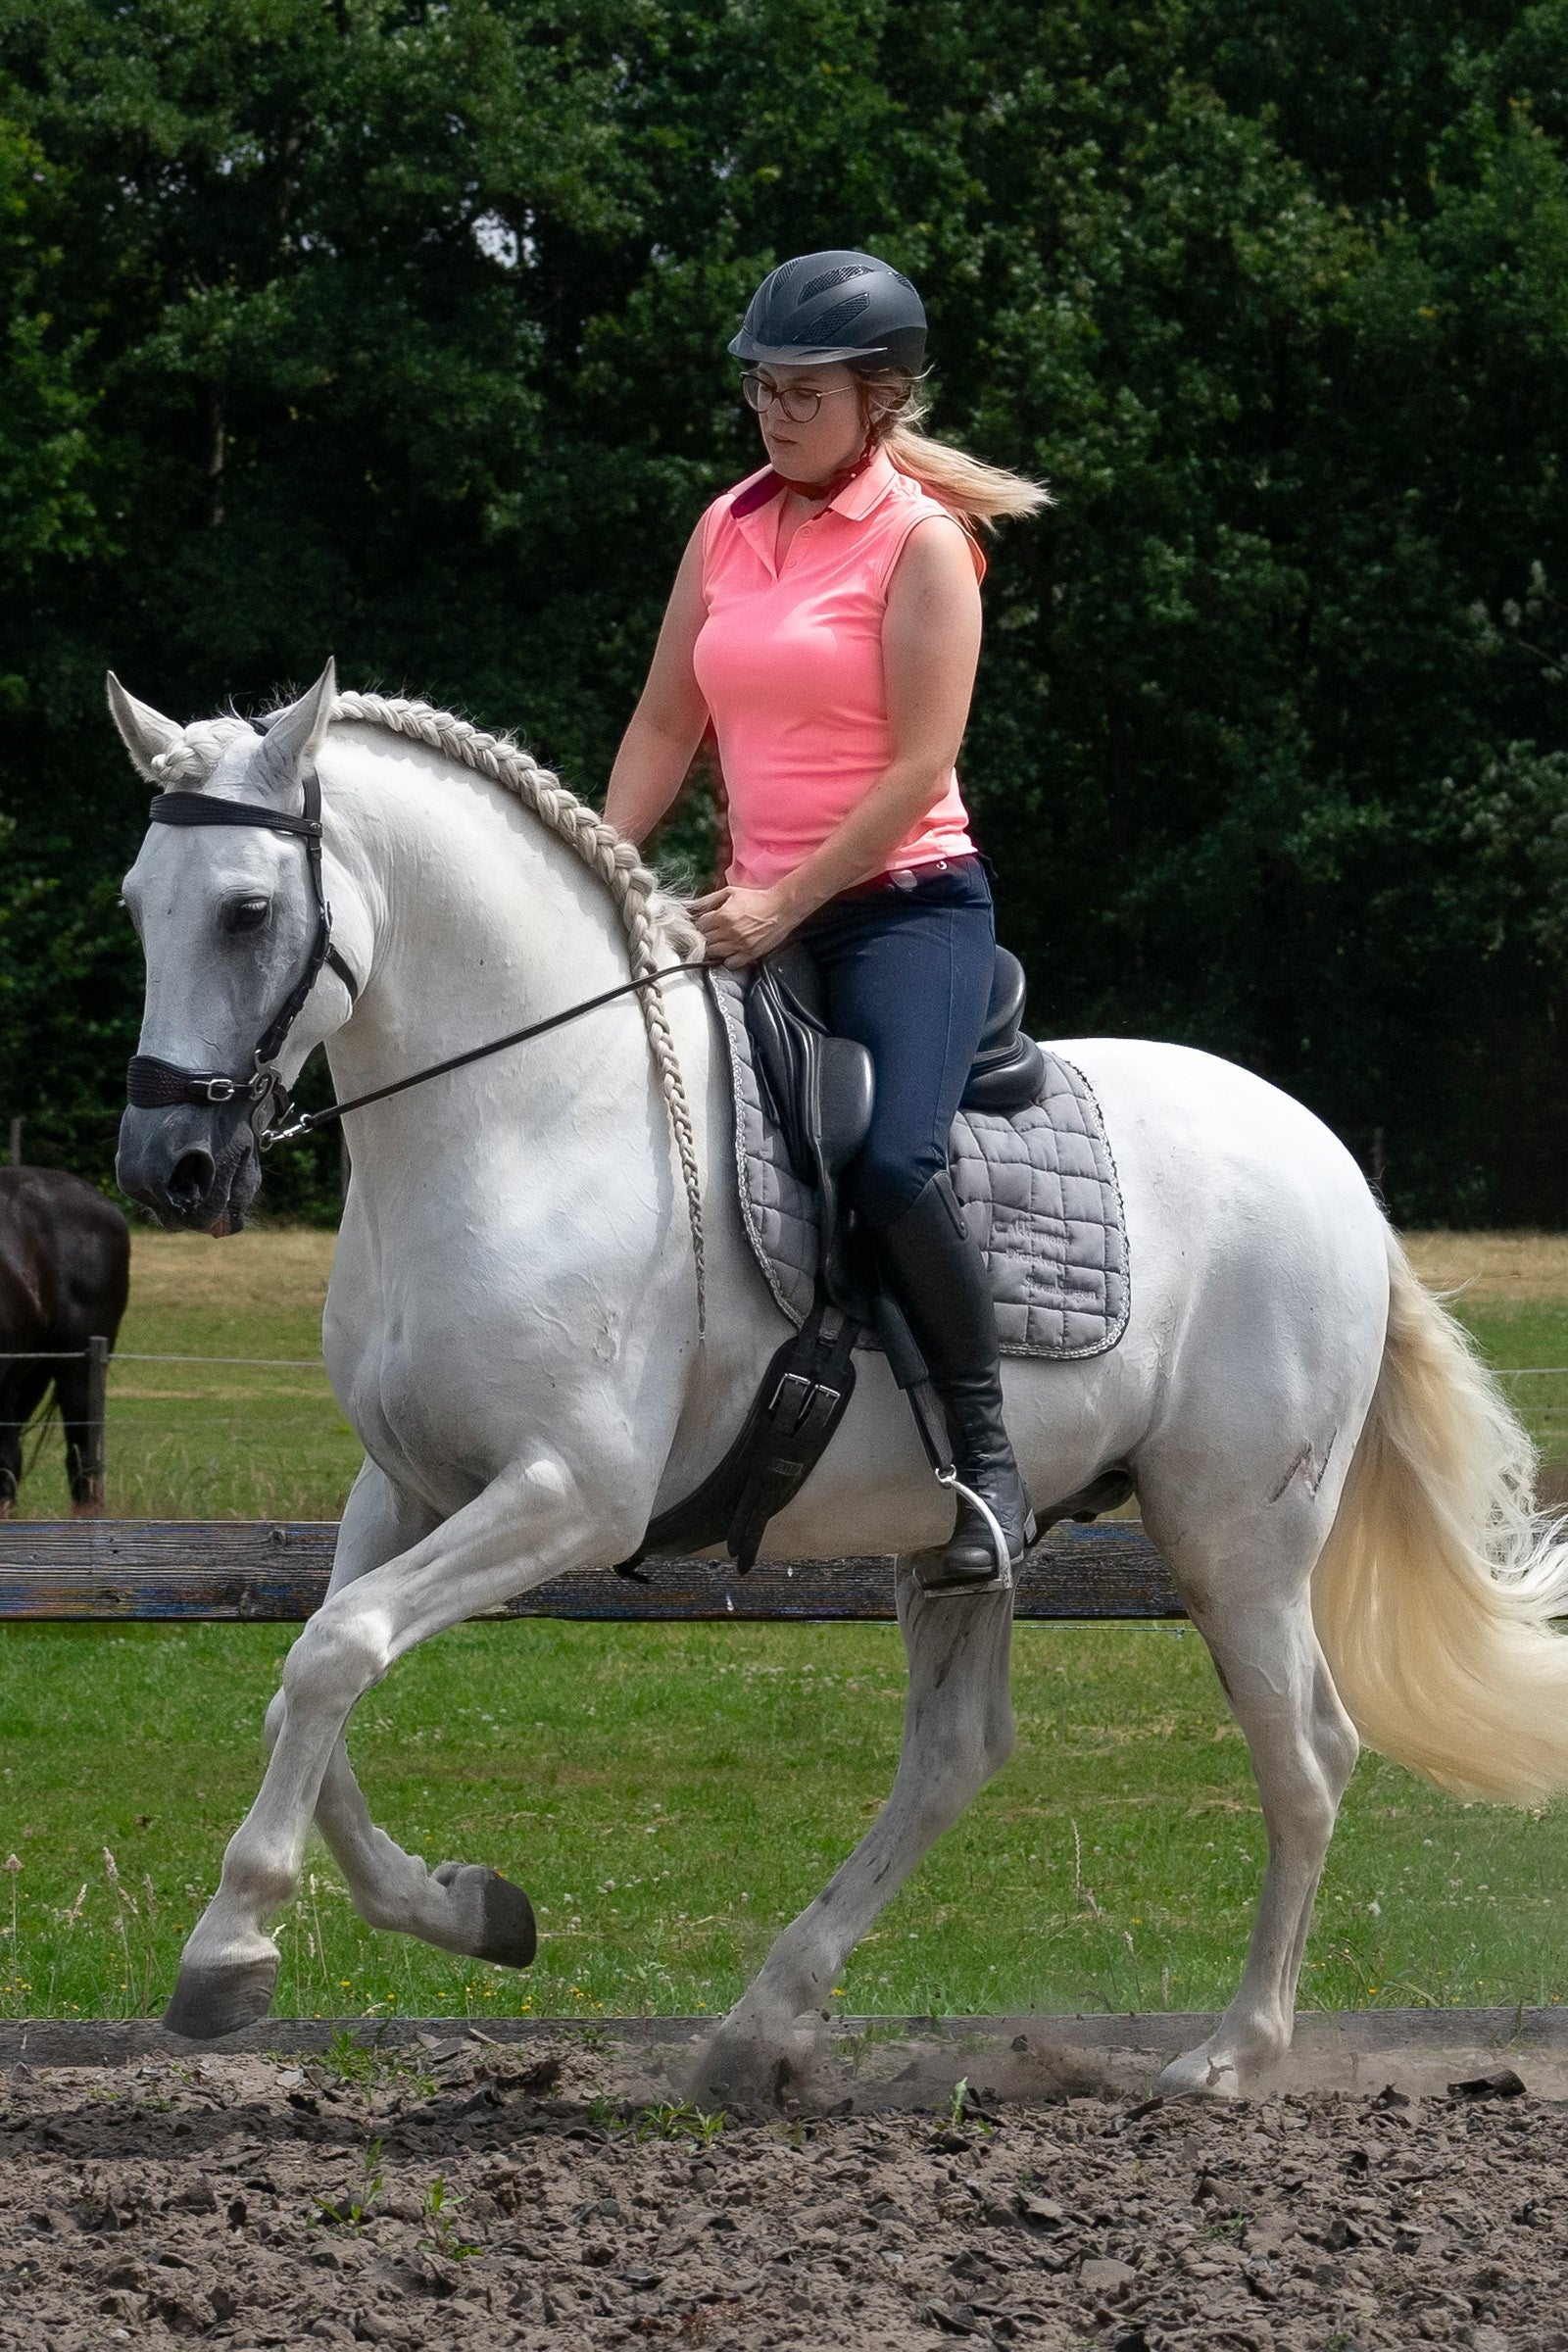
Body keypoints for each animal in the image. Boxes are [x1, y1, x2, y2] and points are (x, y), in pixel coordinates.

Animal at [108, 659, 1568, 2100]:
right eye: (137, 905)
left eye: (245, 913)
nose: (167, 1168)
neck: (528, 1117)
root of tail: (1330, 1162)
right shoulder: (407, 1487)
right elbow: (311, 1681)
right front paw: (466, 1908)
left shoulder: (570, 1496)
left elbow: (333, 1653)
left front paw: (230, 1949)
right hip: (971, 1545)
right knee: (955, 1755)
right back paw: (760, 2027)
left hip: (1236, 1538)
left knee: (1306, 1757)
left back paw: (1232, 2054)